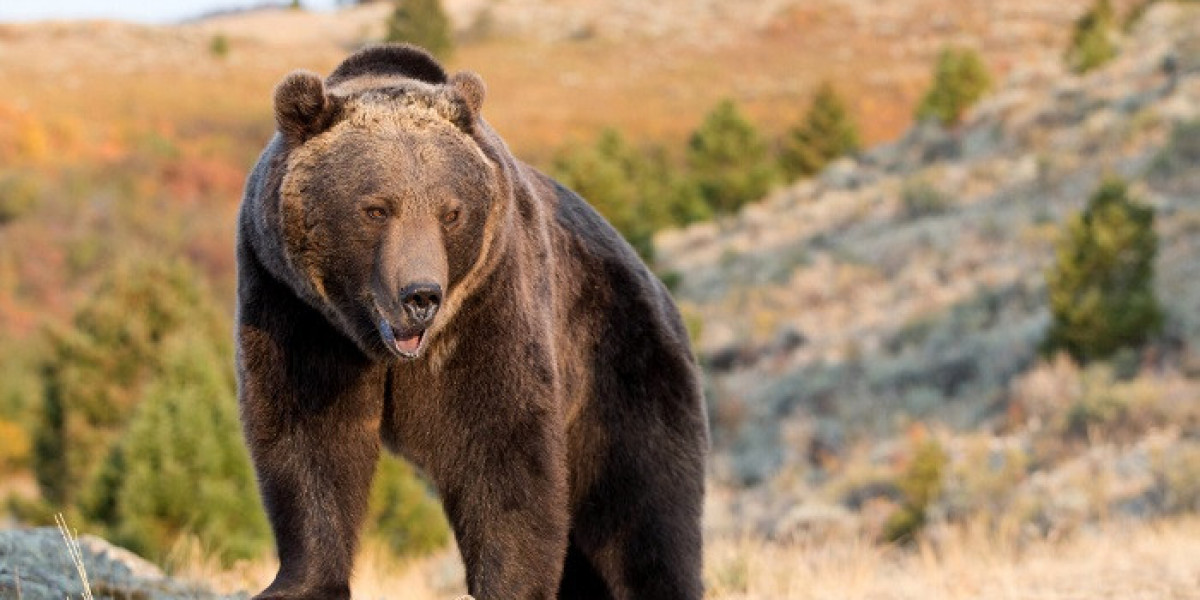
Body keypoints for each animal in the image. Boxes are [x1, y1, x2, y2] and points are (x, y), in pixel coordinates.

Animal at [235, 44, 707, 600]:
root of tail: (659, 287)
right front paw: (300, 582)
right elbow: (307, 436)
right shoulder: (295, 307)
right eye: (375, 209)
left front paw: (510, 584)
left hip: (619, 369)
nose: (421, 295)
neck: (378, 346)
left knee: (643, 512)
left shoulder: (489, 304)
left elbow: (502, 450)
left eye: (450, 212)